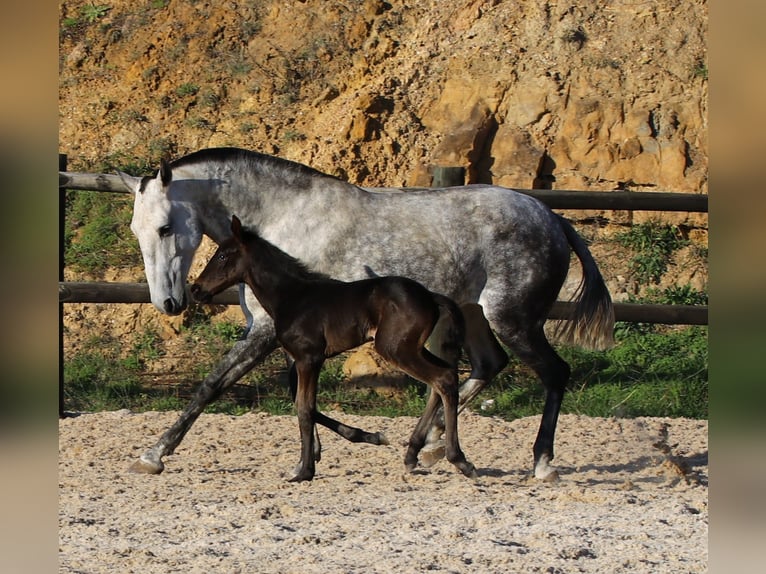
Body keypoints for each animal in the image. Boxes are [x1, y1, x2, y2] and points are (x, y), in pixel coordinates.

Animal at [120, 147, 616, 482]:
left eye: (165, 227)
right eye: (135, 230)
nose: (171, 302)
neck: (285, 221)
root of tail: (553, 218)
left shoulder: (266, 330)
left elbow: (213, 385)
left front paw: (153, 454)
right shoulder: (292, 339)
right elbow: (297, 396)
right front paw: (326, 451)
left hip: (513, 318)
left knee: (553, 373)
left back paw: (541, 463)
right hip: (473, 315)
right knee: (481, 367)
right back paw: (430, 447)